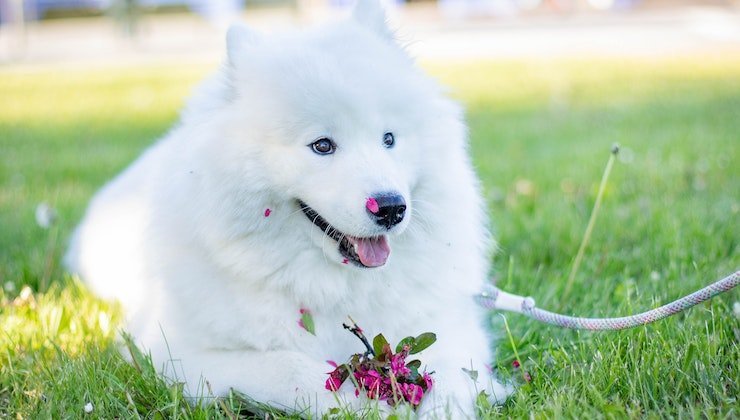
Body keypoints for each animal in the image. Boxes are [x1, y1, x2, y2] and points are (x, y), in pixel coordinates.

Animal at [66, 1, 512, 416]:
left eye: (389, 139)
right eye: (322, 145)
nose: (391, 208)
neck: (332, 285)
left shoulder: (452, 326)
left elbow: (452, 375)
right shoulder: (180, 354)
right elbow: (295, 370)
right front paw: (370, 408)